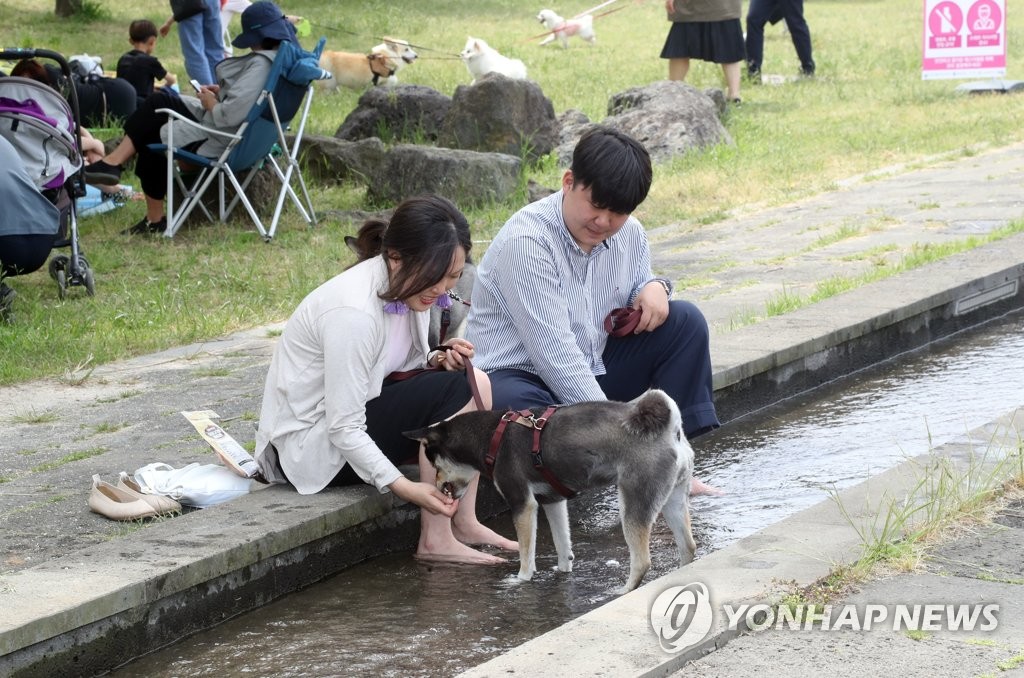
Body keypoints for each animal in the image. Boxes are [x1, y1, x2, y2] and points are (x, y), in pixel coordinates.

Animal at [403, 391, 700, 594]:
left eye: (433, 463)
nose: (436, 486)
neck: (493, 436)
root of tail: (670, 429)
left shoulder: (522, 503)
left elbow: (526, 553)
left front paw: (521, 579)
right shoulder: (553, 500)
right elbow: (562, 543)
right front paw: (563, 569)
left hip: (635, 502)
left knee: (642, 561)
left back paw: (624, 590)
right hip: (672, 500)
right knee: (688, 546)